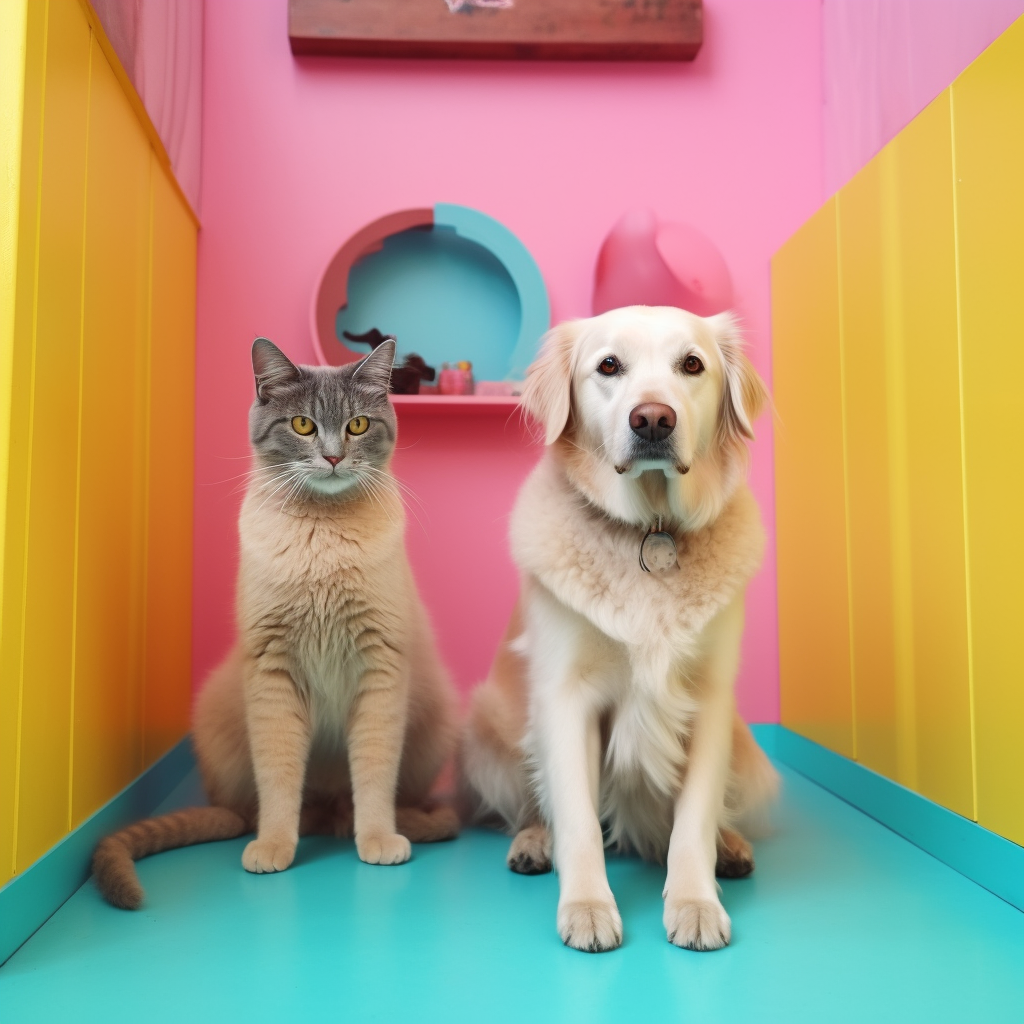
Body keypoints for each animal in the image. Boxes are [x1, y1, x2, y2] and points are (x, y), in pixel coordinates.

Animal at [462, 303, 774, 950]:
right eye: (609, 366)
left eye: (691, 364)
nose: (652, 419)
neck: (649, 528)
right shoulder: (566, 697)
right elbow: (579, 820)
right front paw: (586, 906)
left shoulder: (710, 701)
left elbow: (694, 818)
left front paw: (695, 902)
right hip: (488, 729)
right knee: (536, 806)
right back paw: (534, 843)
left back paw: (731, 847)